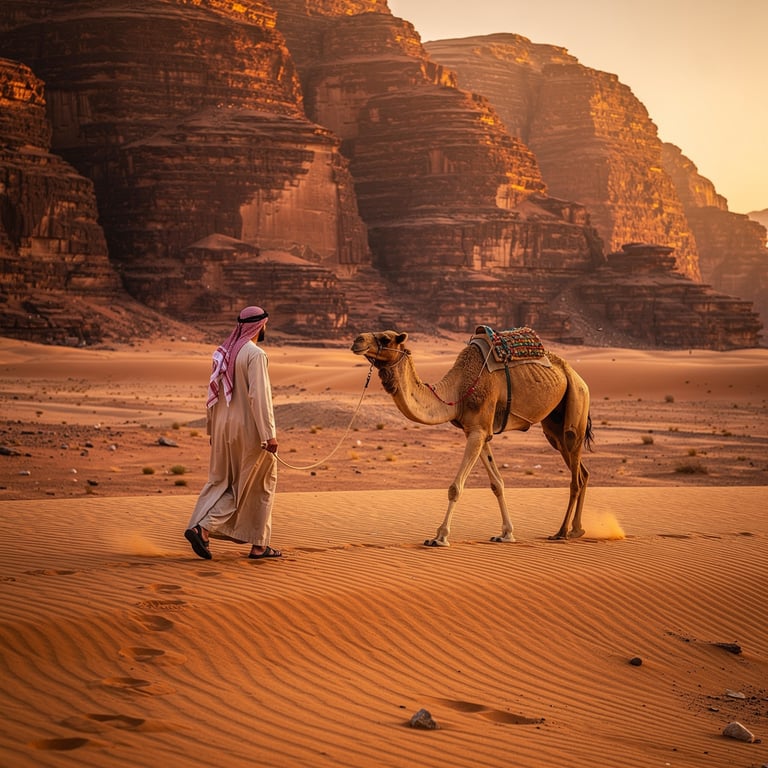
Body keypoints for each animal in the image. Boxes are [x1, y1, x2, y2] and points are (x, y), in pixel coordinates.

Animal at [351, 328, 593, 546]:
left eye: (385, 338)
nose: (357, 340)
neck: (457, 390)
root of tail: (577, 376)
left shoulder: (478, 430)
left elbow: (455, 488)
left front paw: (439, 537)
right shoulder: (478, 431)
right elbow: (497, 483)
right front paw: (506, 534)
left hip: (577, 403)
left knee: (575, 474)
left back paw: (562, 532)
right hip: (553, 425)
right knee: (582, 471)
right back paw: (577, 530)